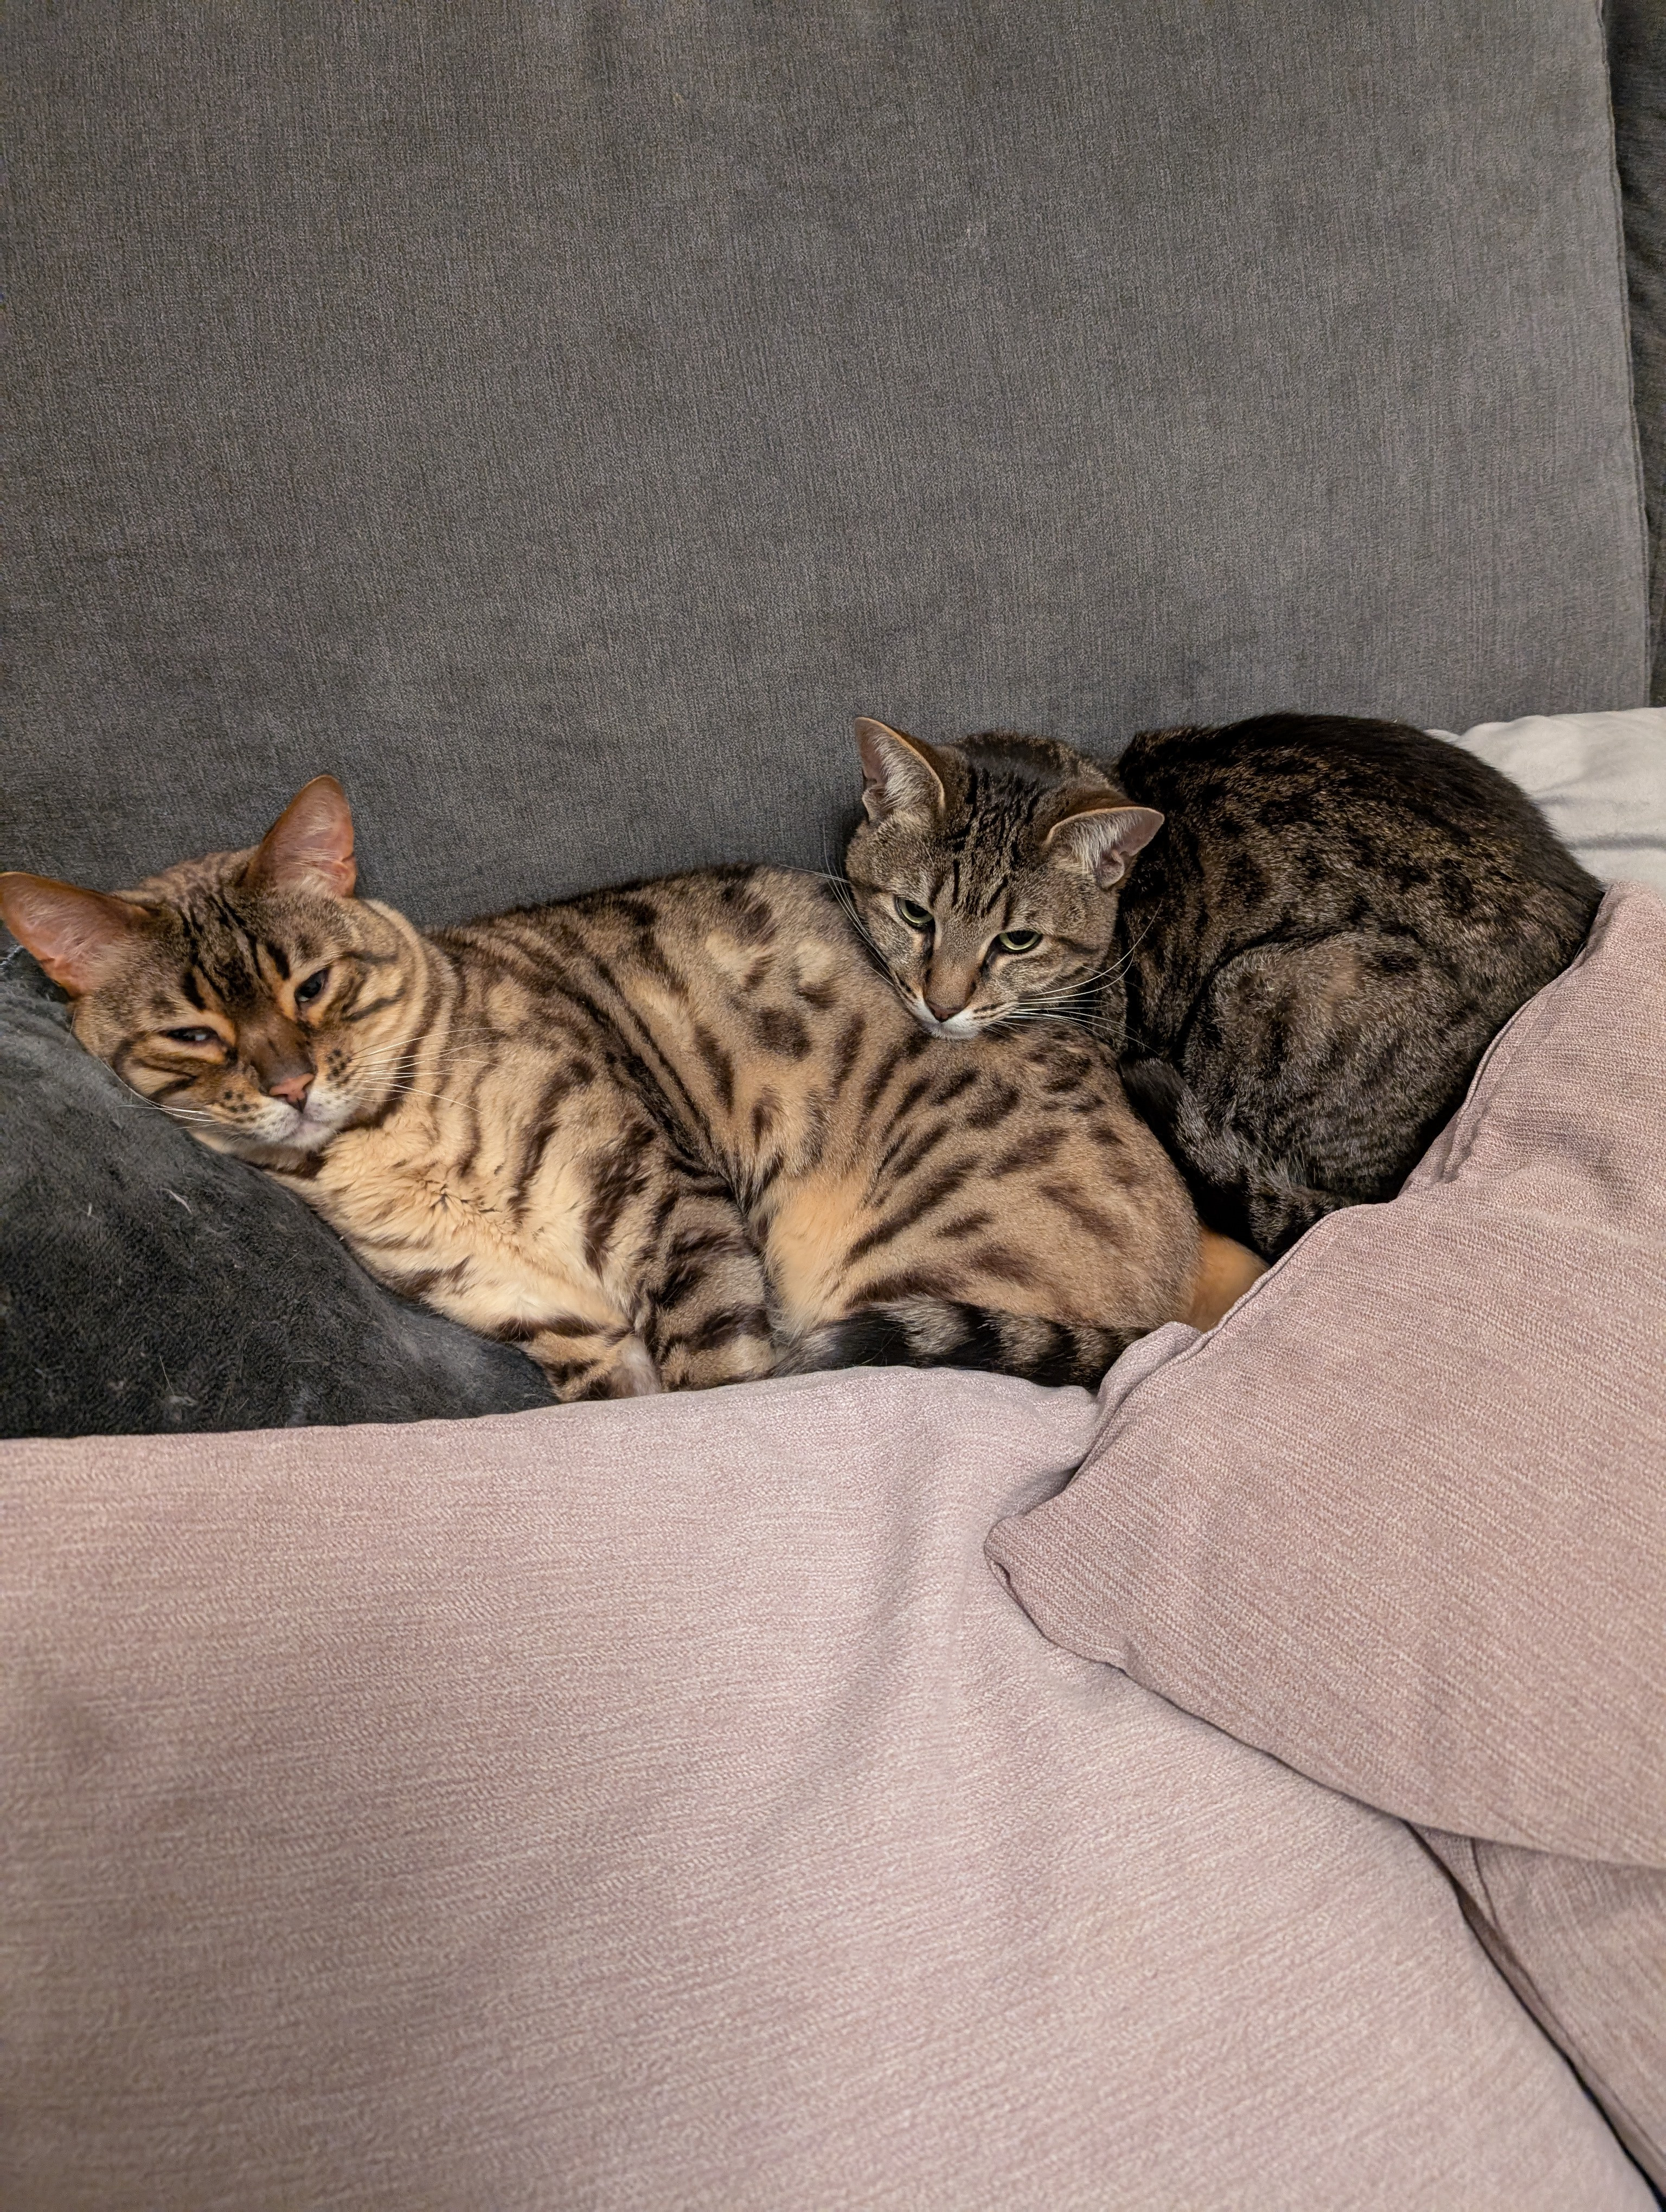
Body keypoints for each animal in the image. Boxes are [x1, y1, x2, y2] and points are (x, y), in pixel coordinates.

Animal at [0, 779, 1247, 1398]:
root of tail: (1162, 1310)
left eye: (314, 985)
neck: (393, 1154)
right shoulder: (560, 1332)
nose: (296, 1082)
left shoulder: (670, 1215)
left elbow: (714, 1381)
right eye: (193, 1033)